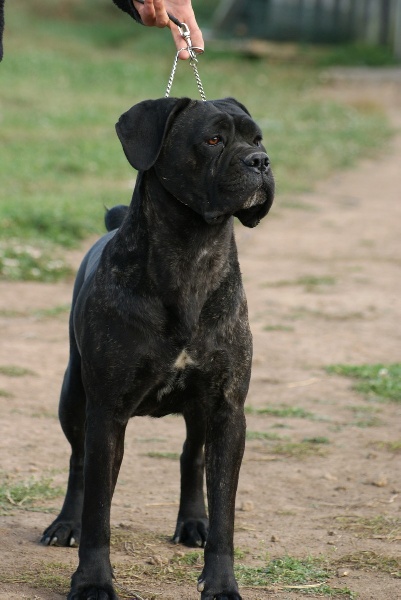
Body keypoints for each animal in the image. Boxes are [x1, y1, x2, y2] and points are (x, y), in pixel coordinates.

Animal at [41, 98, 272, 600]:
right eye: (213, 139)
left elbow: (224, 511)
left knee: (192, 457)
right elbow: (98, 510)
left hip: (200, 413)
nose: (261, 162)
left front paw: (220, 583)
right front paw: (92, 581)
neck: (192, 252)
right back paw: (65, 524)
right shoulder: (107, 412)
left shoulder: (228, 410)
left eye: (258, 138)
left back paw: (192, 522)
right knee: (78, 463)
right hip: (73, 396)